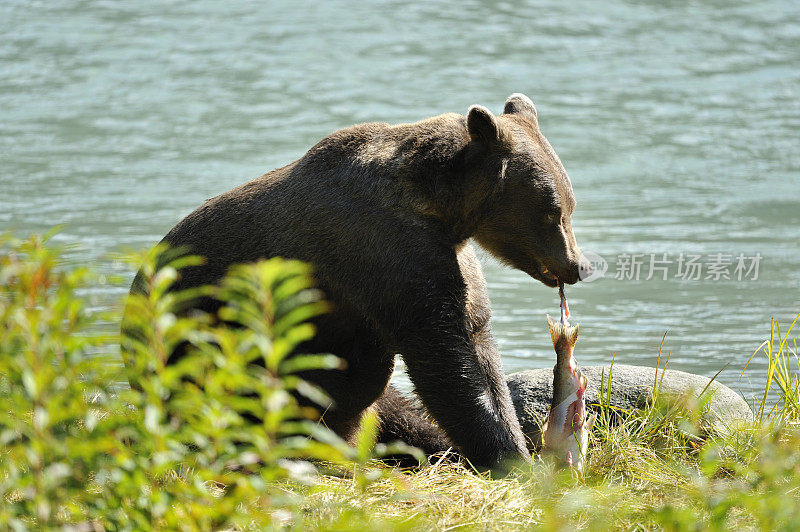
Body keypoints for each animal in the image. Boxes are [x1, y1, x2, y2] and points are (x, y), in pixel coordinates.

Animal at [125, 93, 588, 472]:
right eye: (553, 210)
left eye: (569, 204)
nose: (576, 266)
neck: (440, 206)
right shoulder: (387, 249)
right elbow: (444, 352)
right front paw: (511, 458)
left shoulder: (447, 257)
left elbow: (474, 341)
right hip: (201, 326)